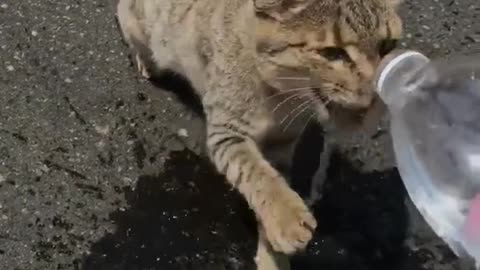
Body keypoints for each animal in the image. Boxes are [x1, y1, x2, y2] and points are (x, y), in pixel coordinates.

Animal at [118, 0, 404, 268]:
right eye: (332, 53)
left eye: (387, 45)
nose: (374, 95)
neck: (281, 98)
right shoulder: (226, 131)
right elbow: (257, 174)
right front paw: (287, 219)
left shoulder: (283, 143)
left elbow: (273, 180)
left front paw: (272, 254)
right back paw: (147, 60)